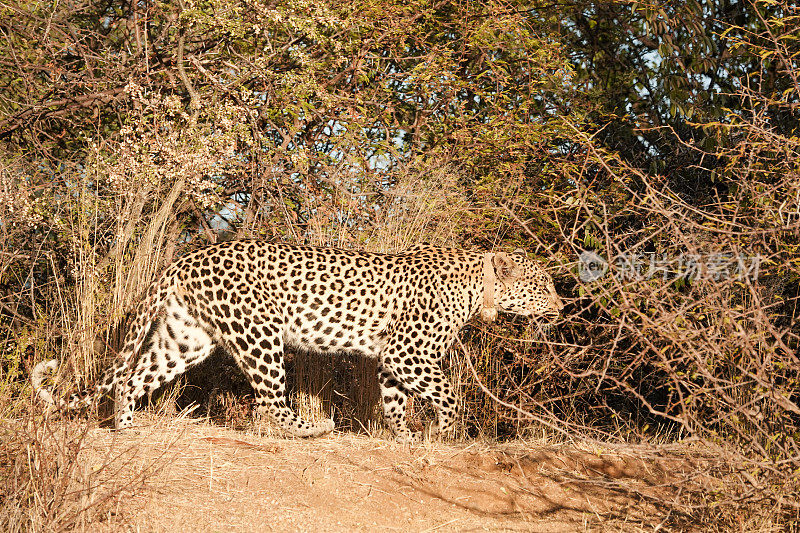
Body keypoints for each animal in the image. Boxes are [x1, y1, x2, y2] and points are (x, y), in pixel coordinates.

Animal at [32, 241, 564, 440]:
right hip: (259, 331)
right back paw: (313, 429)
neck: (482, 286)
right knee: (270, 399)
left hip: (188, 337)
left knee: (133, 376)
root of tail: (186, 258)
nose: (561, 307)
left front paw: (406, 436)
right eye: (543, 285)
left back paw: (126, 427)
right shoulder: (407, 353)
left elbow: (395, 403)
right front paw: (447, 433)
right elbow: (449, 394)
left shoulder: (392, 360)